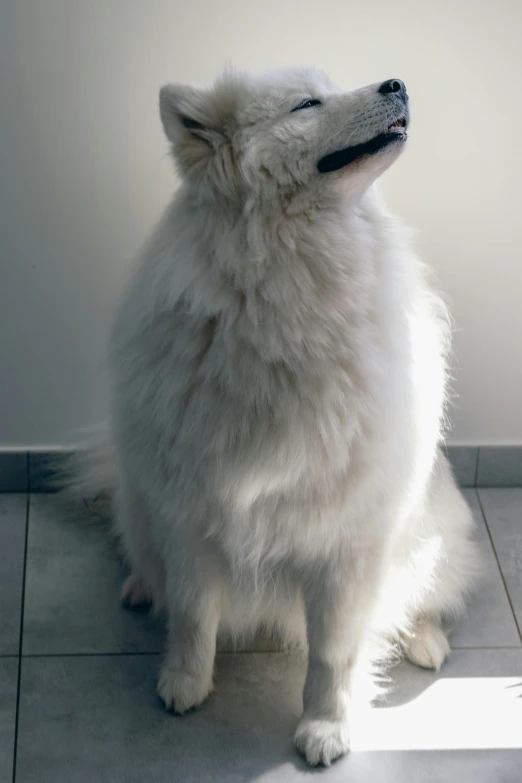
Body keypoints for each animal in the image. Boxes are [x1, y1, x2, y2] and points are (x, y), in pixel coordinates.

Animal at [75, 66, 478, 764]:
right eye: (307, 103)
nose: (397, 82)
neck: (284, 302)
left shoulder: (348, 536)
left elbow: (334, 652)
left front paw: (326, 728)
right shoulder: (190, 514)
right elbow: (193, 615)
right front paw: (184, 682)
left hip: (429, 531)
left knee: (424, 592)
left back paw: (424, 640)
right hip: (141, 506)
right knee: (145, 556)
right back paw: (141, 588)